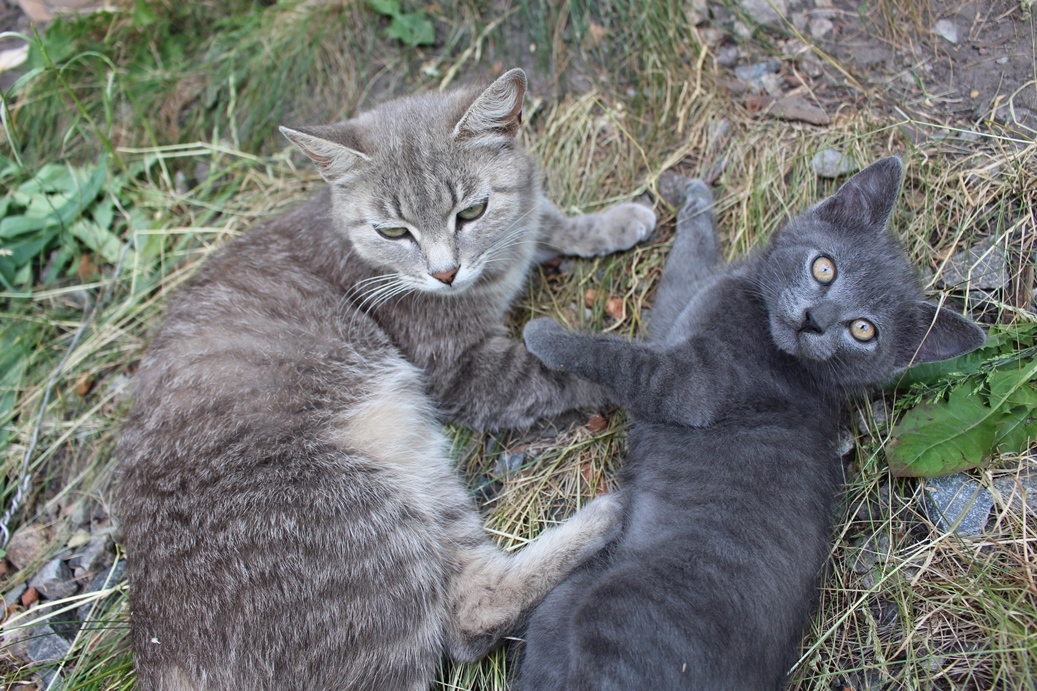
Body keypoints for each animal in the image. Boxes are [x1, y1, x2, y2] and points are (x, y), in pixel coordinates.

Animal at [113, 68, 655, 688]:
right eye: (393, 232)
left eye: (471, 211)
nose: (445, 273)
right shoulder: (462, 369)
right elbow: (561, 370)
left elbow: (542, 216)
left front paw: (607, 221)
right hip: (365, 498)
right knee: (470, 615)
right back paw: (611, 512)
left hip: (417, 461)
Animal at [518, 158, 987, 684]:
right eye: (824, 267)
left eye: (863, 330)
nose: (814, 320)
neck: (773, 339)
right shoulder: (678, 311)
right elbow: (689, 261)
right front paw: (694, 196)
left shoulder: (692, 384)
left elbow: (618, 357)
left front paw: (545, 337)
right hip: (558, 608)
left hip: (613, 612)